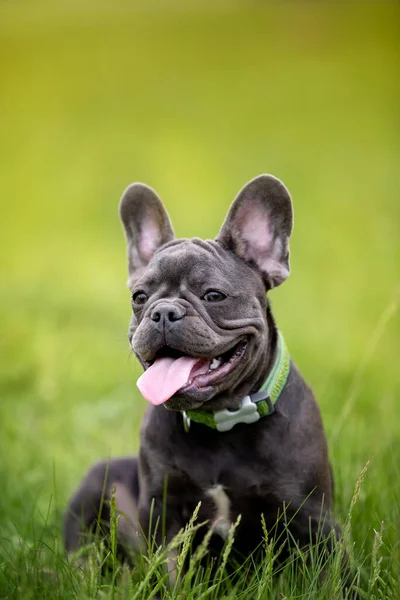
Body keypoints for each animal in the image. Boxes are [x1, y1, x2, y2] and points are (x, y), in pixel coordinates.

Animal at [65, 173, 338, 572]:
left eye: (213, 296)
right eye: (139, 297)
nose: (163, 311)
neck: (222, 421)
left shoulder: (315, 519)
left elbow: (334, 572)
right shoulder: (164, 515)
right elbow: (166, 572)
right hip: (94, 485)